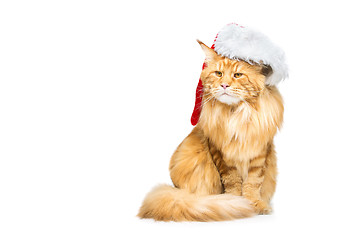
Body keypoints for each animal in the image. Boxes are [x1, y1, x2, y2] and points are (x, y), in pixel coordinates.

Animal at [138, 40, 284, 222]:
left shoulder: (260, 152)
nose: (224, 85)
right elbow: (233, 181)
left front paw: (255, 203)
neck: (236, 114)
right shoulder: (220, 153)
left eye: (237, 75)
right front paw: (235, 202)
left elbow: (253, 182)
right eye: (218, 73)